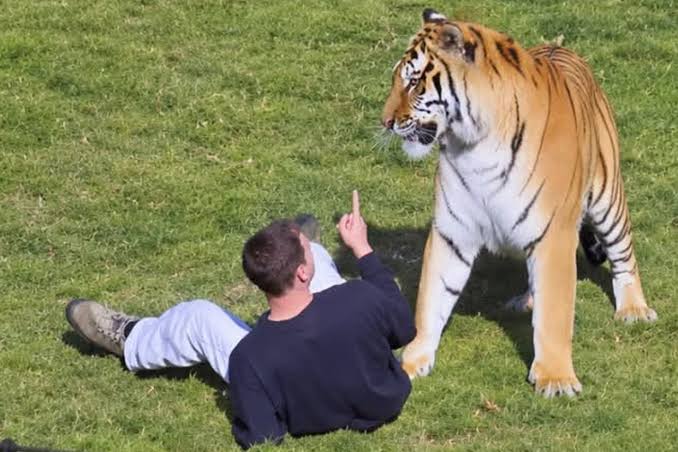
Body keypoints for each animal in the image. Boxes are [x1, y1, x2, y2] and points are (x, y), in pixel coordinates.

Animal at [381, 9, 657, 397]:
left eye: (415, 83)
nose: (386, 121)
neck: (475, 144)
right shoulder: (452, 232)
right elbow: (431, 299)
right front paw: (411, 361)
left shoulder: (554, 233)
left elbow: (555, 312)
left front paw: (555, 379)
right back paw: (525, 301)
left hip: (608, 199)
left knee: (623, 255)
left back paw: (634, 309)